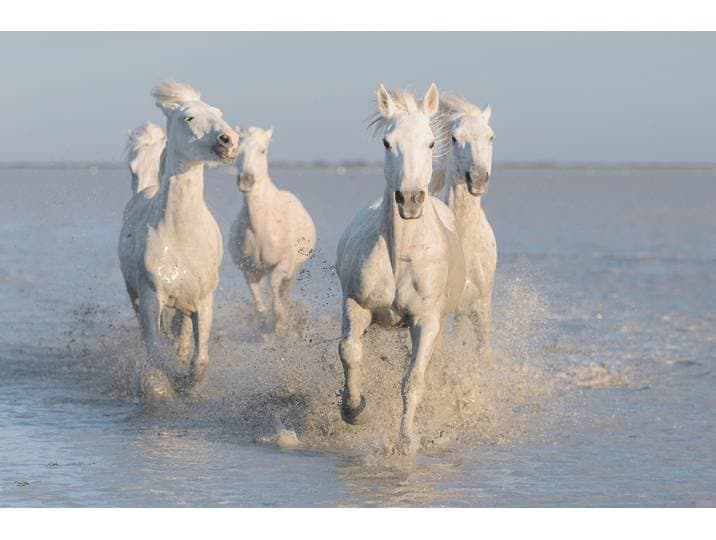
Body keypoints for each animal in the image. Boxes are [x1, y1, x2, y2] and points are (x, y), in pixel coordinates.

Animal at [118, 80, 239, 401]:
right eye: (189, 117)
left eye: (218, 113)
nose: (230, 140)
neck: (180, 236)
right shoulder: (151, 297)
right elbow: (155, 354)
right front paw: (162, 385)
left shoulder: (203, 302)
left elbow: (199, 360)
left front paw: (185, 382)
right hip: (134, 294)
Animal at [229, 126, 316, 332]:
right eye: (237, 150)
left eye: (262, 151)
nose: (246, 180)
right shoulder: (250, 270)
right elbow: (258, 302)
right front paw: (264, 326)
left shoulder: (284, 264)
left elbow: (275, 286)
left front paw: (281, 321)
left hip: (294, 269)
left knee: (285, 289)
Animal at [335, 84, 465, 453]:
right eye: (386, 142)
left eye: (431, 143)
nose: (409, 200)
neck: (402, 256)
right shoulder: (356, 304)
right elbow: (349, 351)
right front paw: (354, 409)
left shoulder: (426, 320)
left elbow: (413, 379)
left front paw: (406, 439)